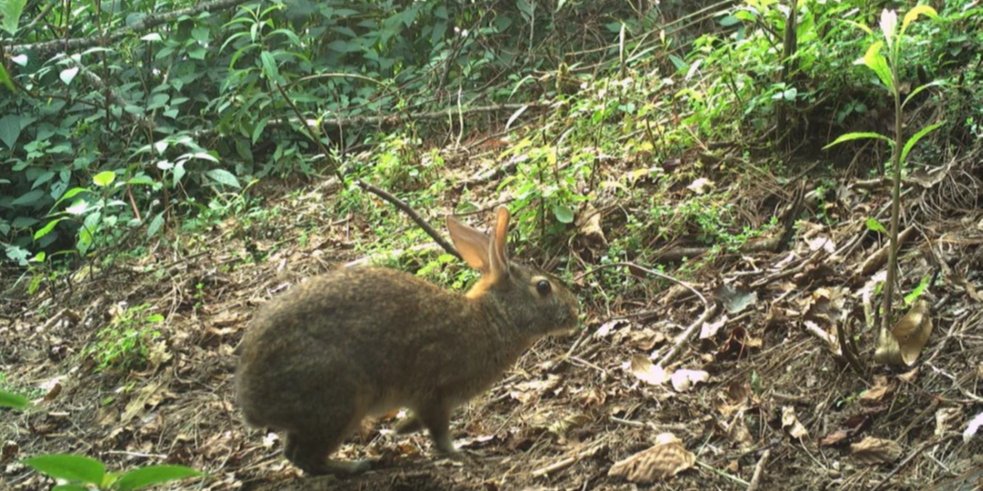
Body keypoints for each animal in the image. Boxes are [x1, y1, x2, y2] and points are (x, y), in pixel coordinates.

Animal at [235, 206, 579, 475]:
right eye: (543, 287)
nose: (575, 312)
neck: (493, 318)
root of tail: (252, 402)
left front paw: (399, 429)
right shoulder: (436, 393)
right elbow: (439, 432)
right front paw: (460, 451)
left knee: (293, 452)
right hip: (341, 400)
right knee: (304, 455)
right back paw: (355, 467)